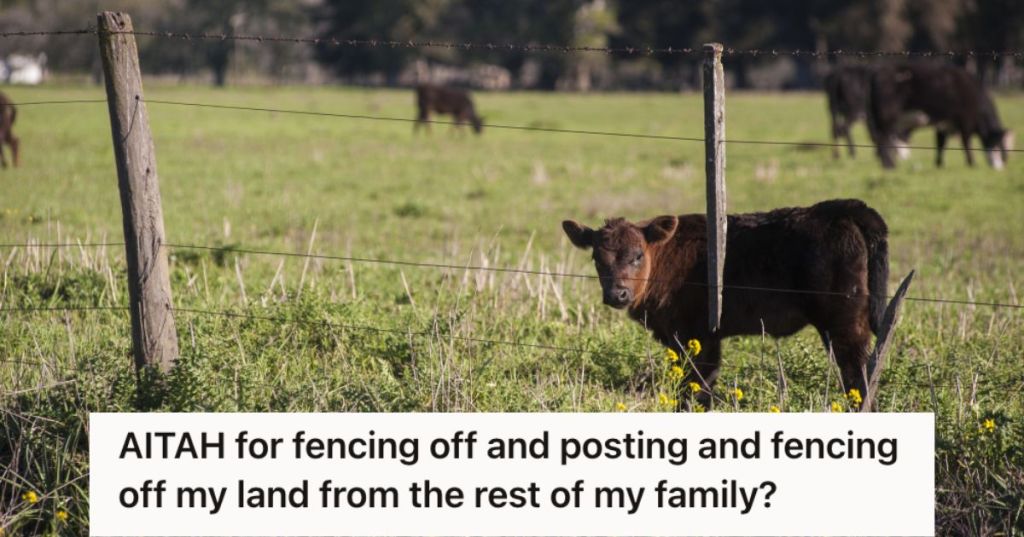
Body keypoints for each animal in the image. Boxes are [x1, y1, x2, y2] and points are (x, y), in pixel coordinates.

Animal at [562, 199, 889, 410]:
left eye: (637, 255)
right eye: (596, 258)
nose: (617, 294)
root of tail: (840, 209)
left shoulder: (698, 336)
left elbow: (697, 388)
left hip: (845, 325)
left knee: (857, 375)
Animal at [869, 63, 1013, 169]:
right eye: (999, 146)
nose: (1000, 167)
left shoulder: (944, 123)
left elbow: (940, 144)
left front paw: (939, 164)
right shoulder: (966, 120)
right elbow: (966, 143)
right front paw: (971, 163)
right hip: (887, 117)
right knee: (883, 138)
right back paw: (889, 165)